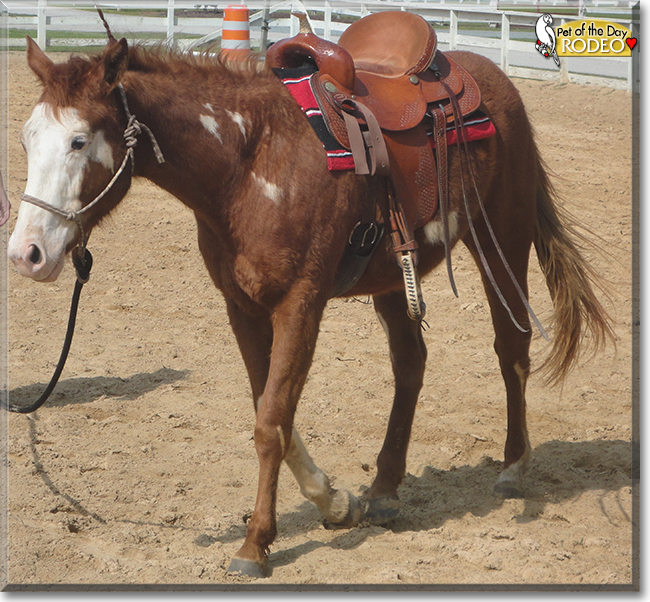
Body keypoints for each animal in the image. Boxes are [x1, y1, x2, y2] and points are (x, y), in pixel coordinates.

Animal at [7, 29, 612, 578]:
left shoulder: (300, 303)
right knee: (410, 364)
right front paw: (336, 502)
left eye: (79, 141)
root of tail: (489, 76)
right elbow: (269, 409)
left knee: (512, 345)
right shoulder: (242, 306)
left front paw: (255, 545)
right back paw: (386, 488)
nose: (26, 254)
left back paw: (513, 466)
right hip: (394, 278)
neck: (250, 161)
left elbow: (271, 421)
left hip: (501, 237)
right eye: (28, 139)